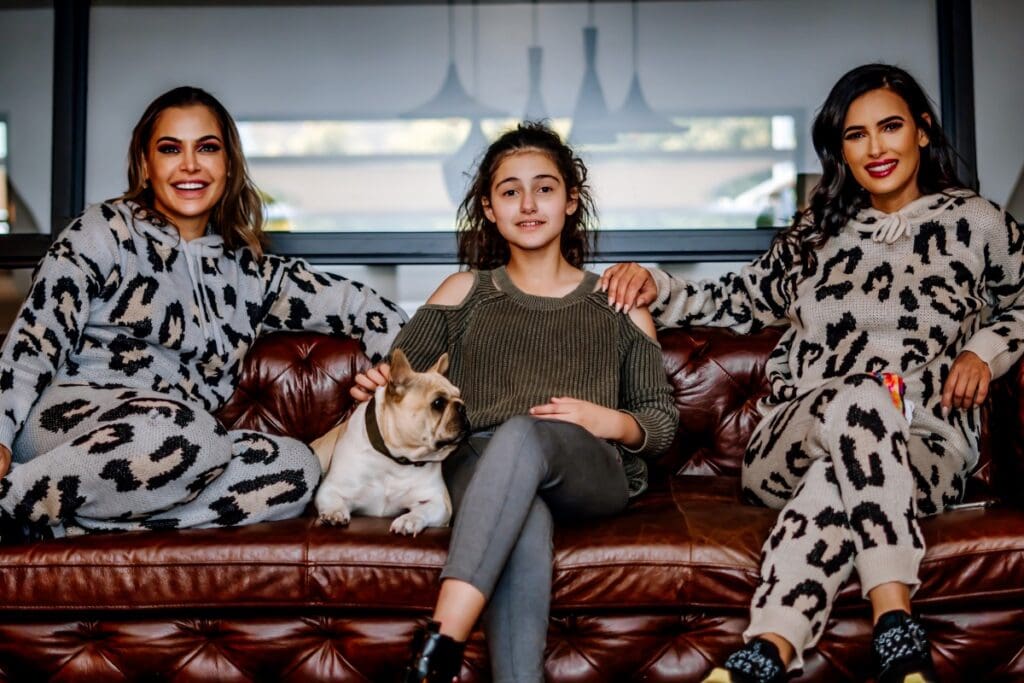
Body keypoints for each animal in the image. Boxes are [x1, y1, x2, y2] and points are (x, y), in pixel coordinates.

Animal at [311, 352, 468, 532]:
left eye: (460, 396)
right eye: (438, 403)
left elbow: (424, 510)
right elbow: (333, 500)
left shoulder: (439, 502)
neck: (396, 458)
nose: (462, 407)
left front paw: (409, 520)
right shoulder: (331, 488)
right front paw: (335, 513)